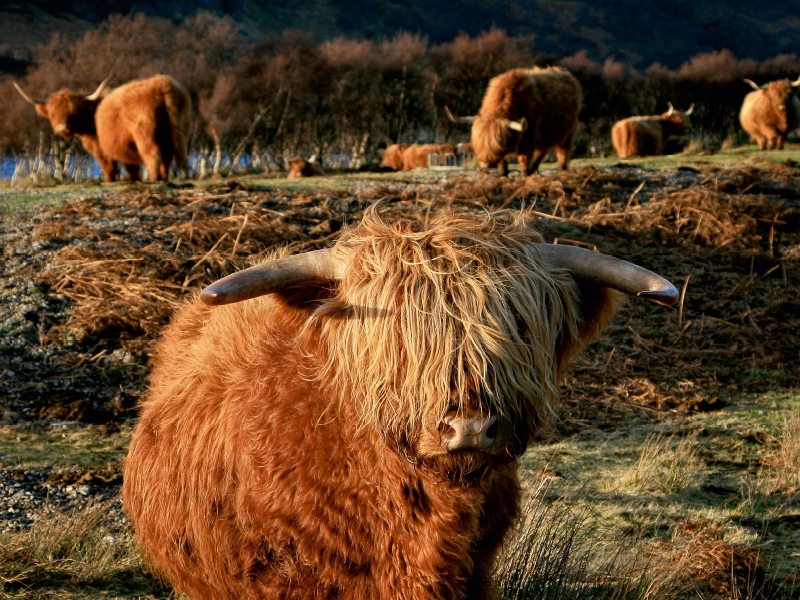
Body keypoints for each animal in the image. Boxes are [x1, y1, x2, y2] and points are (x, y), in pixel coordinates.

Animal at [15, 74, 192, 180]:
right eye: (52, 113)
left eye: (74, 111)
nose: (62, 127)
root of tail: (163, 85)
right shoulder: (125, 150)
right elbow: (131, 168)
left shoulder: (101, 149)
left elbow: (109, 168)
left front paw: (110, 181)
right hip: (176, 131)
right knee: (169, 154)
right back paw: (164, 177)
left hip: (144, 133)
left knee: (153, 152)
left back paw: (155, 179)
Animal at [444, 68, 580, 177]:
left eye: (496, 142)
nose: (485, 163)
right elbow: (503, 161)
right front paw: (502, 174)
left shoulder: (528, 139)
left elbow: (524, 158)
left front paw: (524, 174)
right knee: (542, 152)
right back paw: (534, 170)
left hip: (568, 133)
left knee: (562, 152)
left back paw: (561, 170)